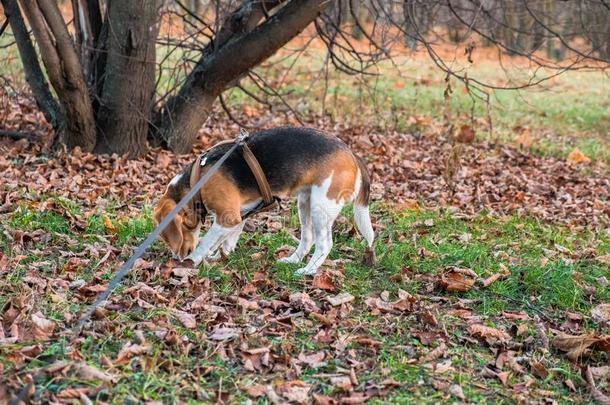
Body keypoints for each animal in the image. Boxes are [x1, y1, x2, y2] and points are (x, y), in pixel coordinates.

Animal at [153, 126, 370, 274]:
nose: (176, 258)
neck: (197, 179)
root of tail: (352, 153)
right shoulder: (237, 216)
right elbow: (226, 241)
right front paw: (220, 255)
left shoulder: (227, 217)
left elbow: (206, 242)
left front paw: (192, 260)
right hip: (305, 203)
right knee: (308, 238)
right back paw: (293, 260)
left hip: (321, 207)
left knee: (324, 244)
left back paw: (308, 271)